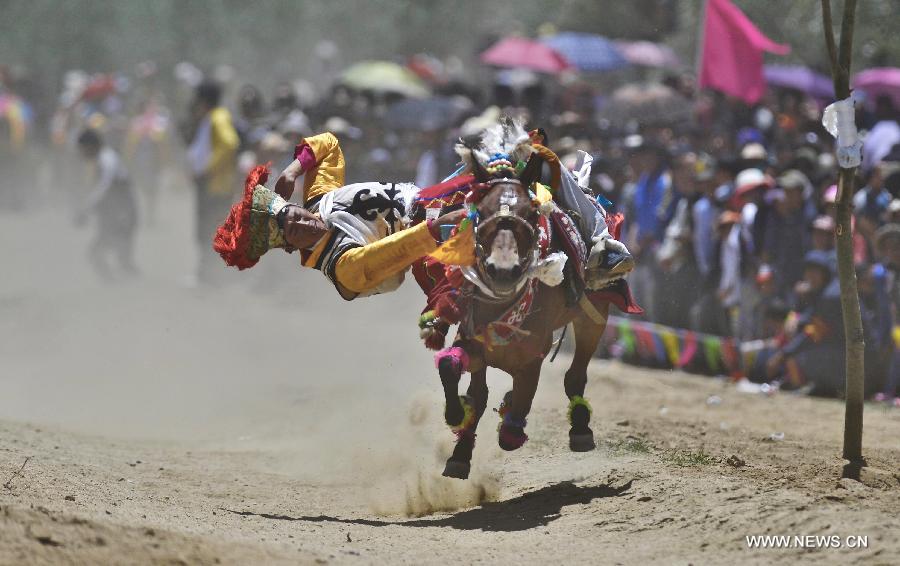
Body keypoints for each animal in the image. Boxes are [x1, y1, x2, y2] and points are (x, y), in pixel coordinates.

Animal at [438, 150, 620, 480]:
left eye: (531, 213)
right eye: (482, 211)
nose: (503, 270)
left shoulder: (532, 355)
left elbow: (516, 415)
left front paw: (509, 418)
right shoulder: (474, 339)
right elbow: (454, 370)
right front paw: (457, 425)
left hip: (593, 316)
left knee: (575, 376)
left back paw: (580, 427)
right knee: (480, 392)